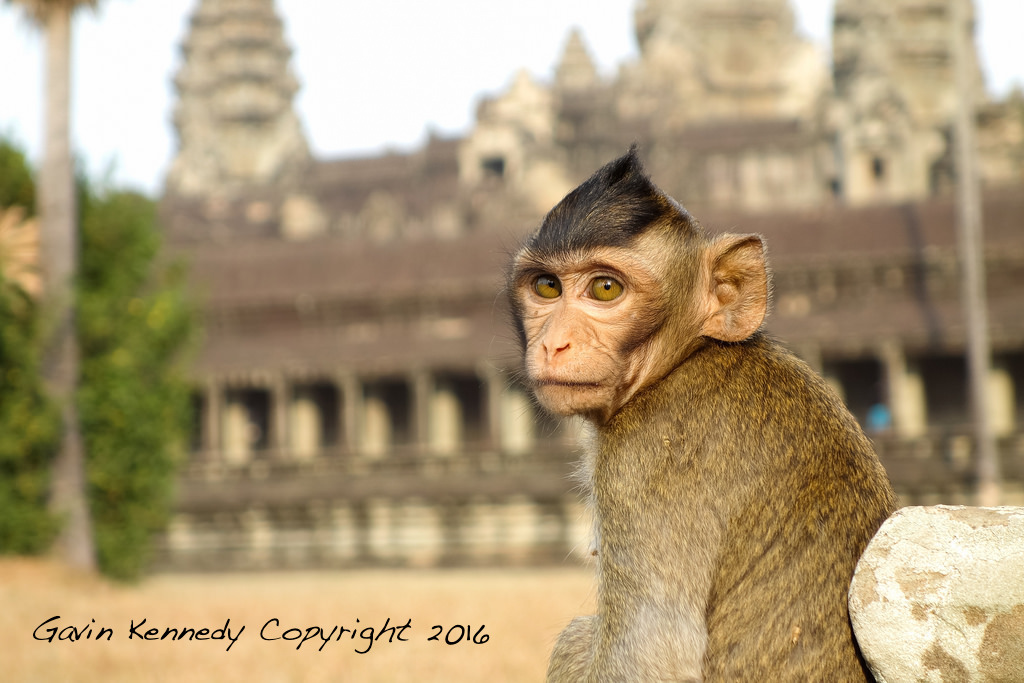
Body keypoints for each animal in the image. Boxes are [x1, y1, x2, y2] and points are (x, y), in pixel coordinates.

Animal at [507, 149, 901, 683]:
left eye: (605, 289)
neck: (684, 359)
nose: (554, 343)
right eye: (547, 286)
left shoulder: (643, 463)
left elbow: (653, 657)